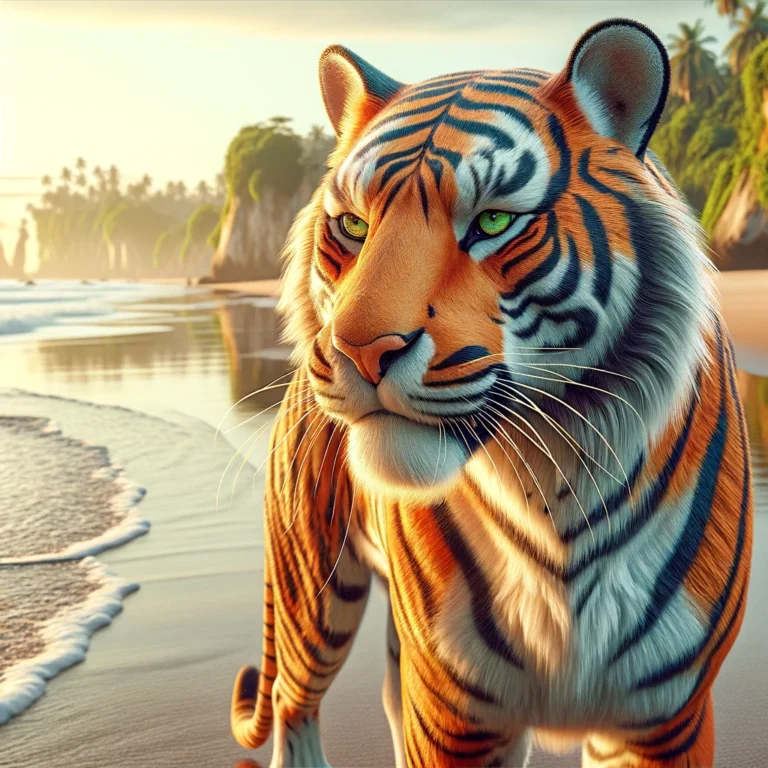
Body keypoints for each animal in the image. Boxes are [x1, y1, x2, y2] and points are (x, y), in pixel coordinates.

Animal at [230, 18, 753, 768]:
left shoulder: (661, 720)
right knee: (290, 699)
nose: (358, 347)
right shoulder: (454, 711)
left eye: (494, 224)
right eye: (354, 227)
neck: (557, 487)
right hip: (314, 589)